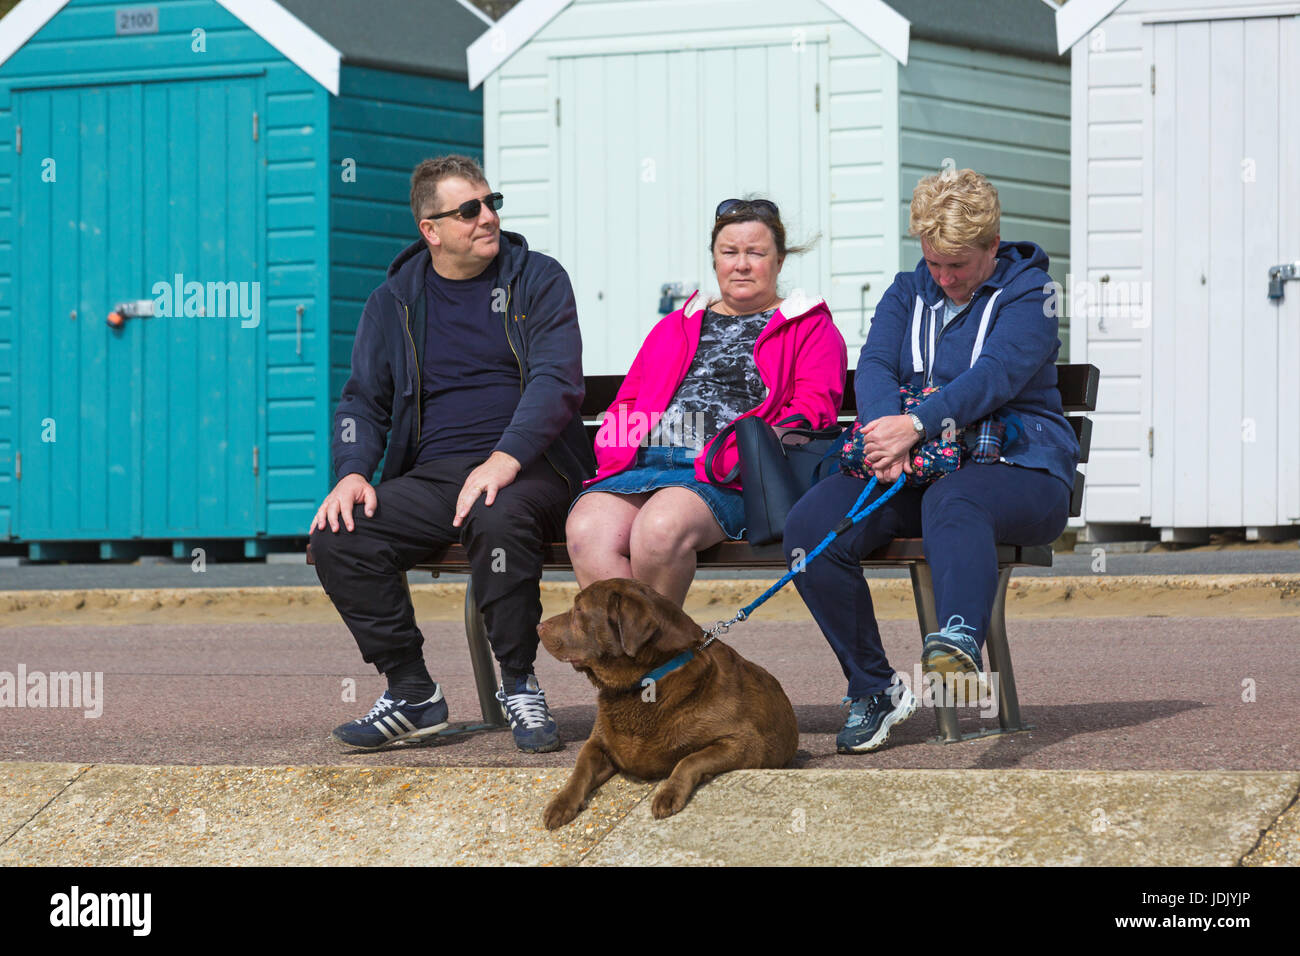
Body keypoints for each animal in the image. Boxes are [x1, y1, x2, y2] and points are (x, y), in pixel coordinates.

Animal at [533, 574, 795, 832]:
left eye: (578, 609)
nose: (538, 626)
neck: (646, 681)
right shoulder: (598, 742)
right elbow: (581, 768)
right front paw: (561, 803)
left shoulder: (746, 743)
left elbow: (690, 759)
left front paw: (668, 792)